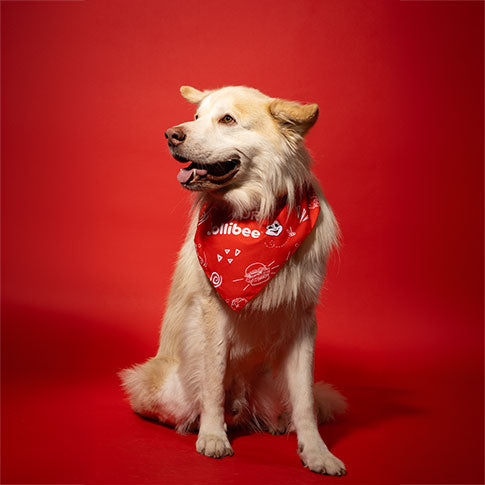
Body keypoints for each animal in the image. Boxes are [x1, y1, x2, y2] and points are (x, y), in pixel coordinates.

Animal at [121, 85, 348, 474]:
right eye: (196, 117)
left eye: (227, 119)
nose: (171, 135)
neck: (257, 214)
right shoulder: (213, 316)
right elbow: (213, 382)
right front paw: (213, 435)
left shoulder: (303, 321)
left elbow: (305, 399)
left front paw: (317, 452)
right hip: (166, 388)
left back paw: (275, 423)